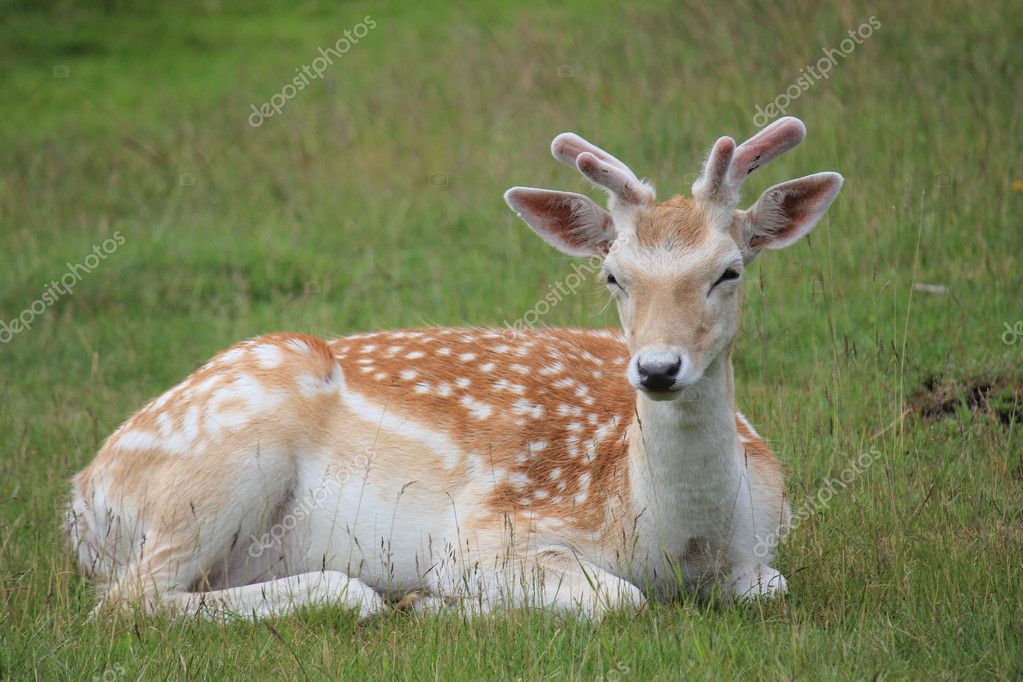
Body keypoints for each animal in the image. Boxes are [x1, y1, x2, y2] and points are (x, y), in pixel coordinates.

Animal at [68, 118, 842, 625]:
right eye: (612, 275)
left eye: (729, 270)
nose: (656, 368)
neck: (680, 541)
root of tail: (81, 498)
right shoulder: (485, 532)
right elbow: (615, 598)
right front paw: (436, 601)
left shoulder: (763, 542)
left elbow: (769, 585)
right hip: (216, 471)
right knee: (125, 601)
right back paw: (373, 597)